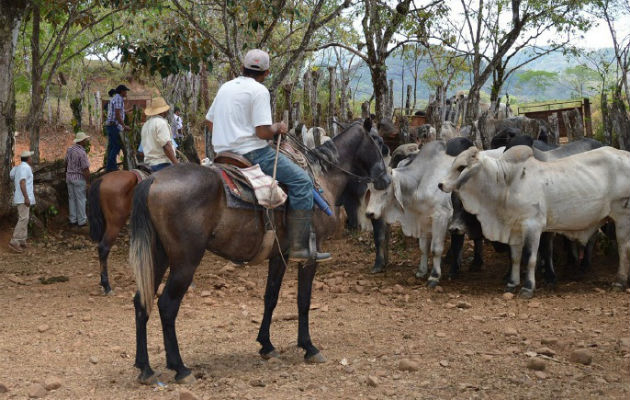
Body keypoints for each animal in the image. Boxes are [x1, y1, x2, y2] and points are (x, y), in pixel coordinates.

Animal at [128, 122, 390, 384]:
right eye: (378, 142)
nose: (386, 180)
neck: (323, 178)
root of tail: (152, 181)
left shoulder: (279, 255)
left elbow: (270, 297)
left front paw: (266, 345)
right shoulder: (310, 256)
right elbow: (303, 300)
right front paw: (308, 347)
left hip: (158, 257)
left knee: (142, 301)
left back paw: (145, 368)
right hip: (185, 262)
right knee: (167, 306)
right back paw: (180, 368)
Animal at [368, 141, 456, 284]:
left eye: (385, 192)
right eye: (370, 190)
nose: (369, 213)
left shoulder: (441, 217)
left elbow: (436, 249)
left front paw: (434, 276)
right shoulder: (423, 219)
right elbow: (423, 248)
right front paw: (421, 271)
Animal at [440, 146, 630, 296]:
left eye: (461, 167)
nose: (440, 184)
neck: (506, 183)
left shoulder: (533, 226)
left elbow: (530, 257)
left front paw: (528, 287)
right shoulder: (514, 229)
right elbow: (515, 258)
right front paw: (511, 283)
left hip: (622, 216)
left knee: (623, 247)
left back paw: (620, 281)